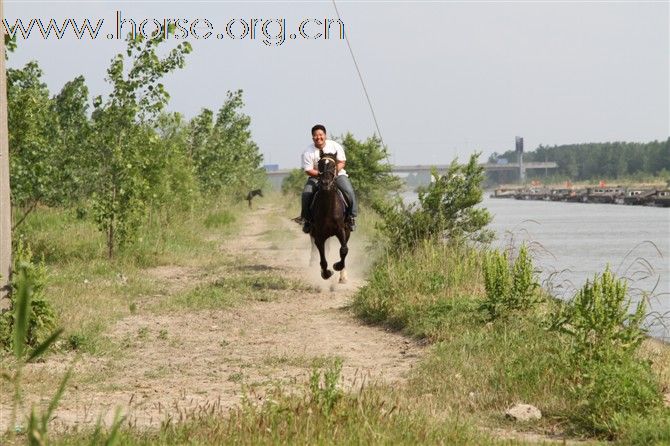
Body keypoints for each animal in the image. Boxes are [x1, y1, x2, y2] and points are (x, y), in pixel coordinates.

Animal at [312, 152, 352, 280]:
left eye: (334, 165)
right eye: (319, 164)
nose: (325, 183)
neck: (328, 207)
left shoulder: (341, 230)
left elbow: (344, 249)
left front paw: (337, 266)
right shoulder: (319, 235)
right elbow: (323, 257)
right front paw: (326, 273)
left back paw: (343, 276)